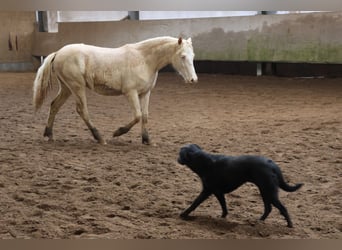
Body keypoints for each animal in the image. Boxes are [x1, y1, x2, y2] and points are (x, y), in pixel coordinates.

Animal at [32, 35, 198, 145]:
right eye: (182, 56)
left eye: (193, 55)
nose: (193, 80)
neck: (144, 59)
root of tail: (58, 53)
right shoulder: (131, 93)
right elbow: (137, 116)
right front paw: (117, 132)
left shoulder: (145, 93)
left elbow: (145, 116)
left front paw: (147, 140)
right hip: (77, 87)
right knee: (82, 110)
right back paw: (99, 138)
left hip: (67, 88)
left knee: (54, 106)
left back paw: (49, 135)